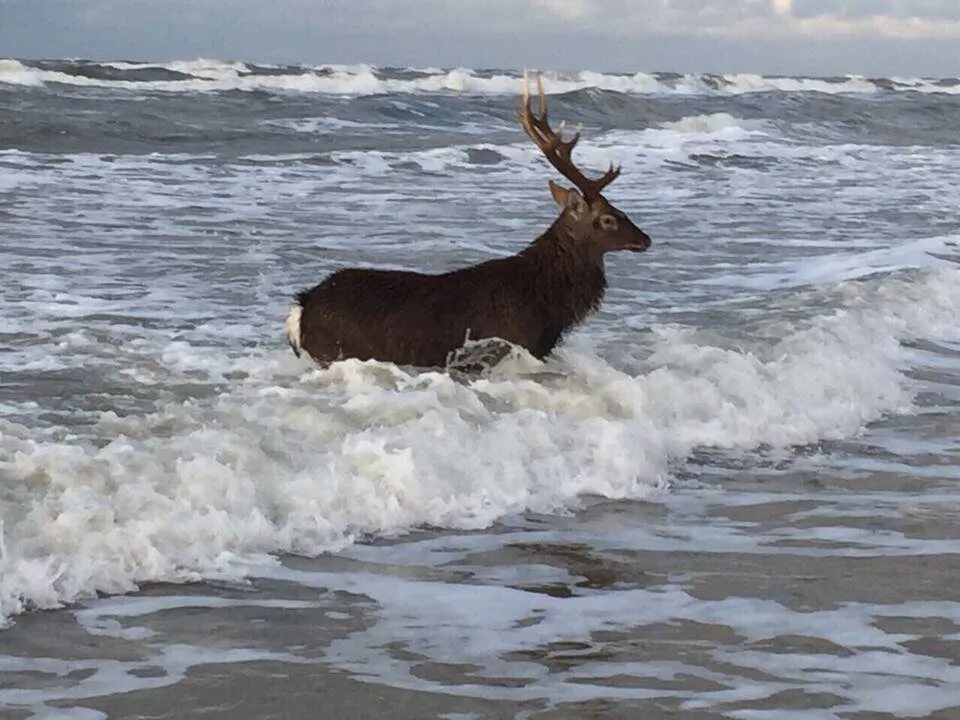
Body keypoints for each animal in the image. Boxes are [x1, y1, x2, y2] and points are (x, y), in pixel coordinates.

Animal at [282, 74, 648, 368]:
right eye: (608, 219)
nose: (645, 238)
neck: (548, 299)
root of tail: (300, 309)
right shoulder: (514, 343)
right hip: (334, 351)